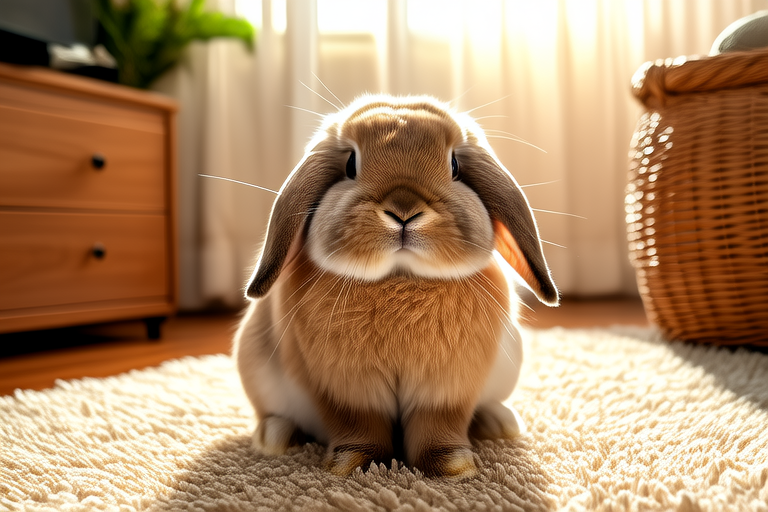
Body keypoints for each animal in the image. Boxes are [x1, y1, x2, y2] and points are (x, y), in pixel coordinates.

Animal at [233, 94, 559, 478]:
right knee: (274, 412)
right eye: (351, 164)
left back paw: (500, 424)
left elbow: (438, 426)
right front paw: (352, 465)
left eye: (454, 165)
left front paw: (454, 467)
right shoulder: (348, 391)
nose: (404, 210)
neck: (400, 277)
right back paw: (275, 437)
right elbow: (361, 426)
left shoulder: (445, 390)